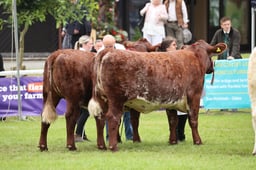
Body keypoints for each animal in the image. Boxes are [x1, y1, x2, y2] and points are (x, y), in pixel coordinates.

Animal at [88, 40, 226, 151]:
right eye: (211, 55)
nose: (212, 67)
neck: (195, 57)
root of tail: (107, 51)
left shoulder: (171, 100)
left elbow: (173, 121)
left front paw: (173, 141)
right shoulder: (194, 95)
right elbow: (193, 120)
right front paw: (198, 141)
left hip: (102, 98)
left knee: (100, 118)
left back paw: (101, 146)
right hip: (116, 99)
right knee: (112, 118)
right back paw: (113, 146)